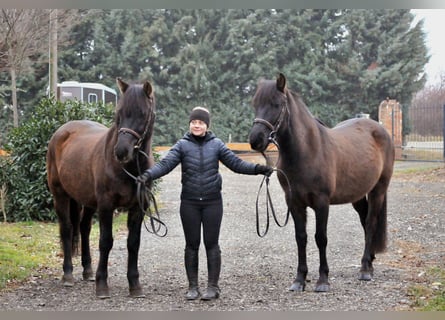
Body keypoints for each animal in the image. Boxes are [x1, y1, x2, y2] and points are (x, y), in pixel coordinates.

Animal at [46, 77, 156, 298]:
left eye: (142, 114)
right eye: (119, 113)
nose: (121, 151)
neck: (129, 169)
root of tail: (61, 132)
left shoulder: (138, 207)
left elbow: (133, 243)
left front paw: (135, 285)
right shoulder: (106, 205)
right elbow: (106, 241)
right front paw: (102, 285)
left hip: (87, 201)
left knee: (84, 228)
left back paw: (87, 271)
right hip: (60, 195)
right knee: (67, 228)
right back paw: (68, 274)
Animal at [248, 73, 394, 292]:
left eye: (276, 104)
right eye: (255, 104)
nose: (255, 140)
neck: (307, 150)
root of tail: (380, 129)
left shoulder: (321, 202)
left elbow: (320, 238)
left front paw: (323, 280)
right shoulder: (294, 202)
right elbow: (301, 238)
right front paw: (299, 280)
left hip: (379, 189)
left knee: (370, 223)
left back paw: (365, 270)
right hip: (358, 195)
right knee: (364, 220)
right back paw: (370, 262)